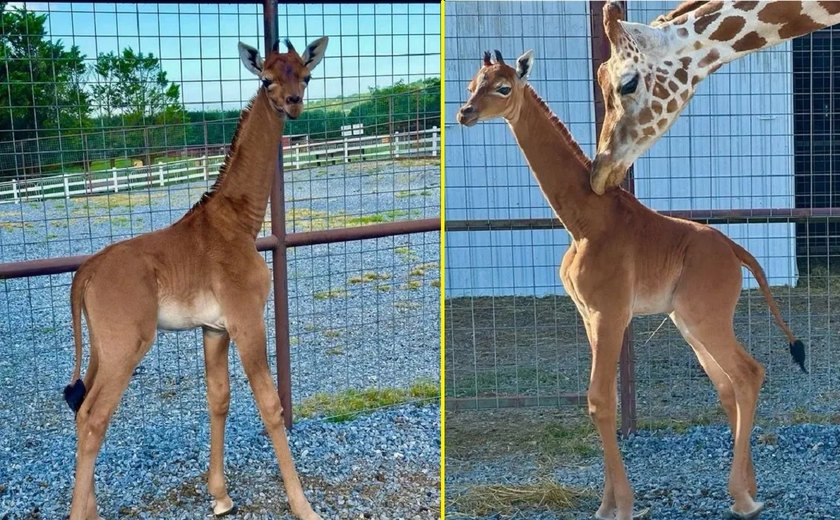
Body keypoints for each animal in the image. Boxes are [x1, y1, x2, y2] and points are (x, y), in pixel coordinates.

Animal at [63, 37, 328, 520]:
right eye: (266, 79)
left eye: (305, 74)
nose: (293, 103)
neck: (240, 223)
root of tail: (85, 274)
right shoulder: (247, 320)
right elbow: (271, 405)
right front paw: (303, 506)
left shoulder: (213, 328)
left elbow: (218, 398)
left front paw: (220, 495)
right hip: (126, 346)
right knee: (93, 417)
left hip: (100, 349)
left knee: (79, 408)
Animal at [460, 48, 808, 520]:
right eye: (470, 84)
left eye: (502, 87)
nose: (465, 113)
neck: (584, 222)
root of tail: (737, 251)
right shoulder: (589, 315)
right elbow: (601, 400)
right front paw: (607, 504)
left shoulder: (610, 313)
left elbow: (600, 400)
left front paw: (621, 505)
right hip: (687, 322)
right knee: (727, 385)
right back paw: (749, 490)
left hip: (706, 318)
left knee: (748, 374)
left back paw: (742, 498)